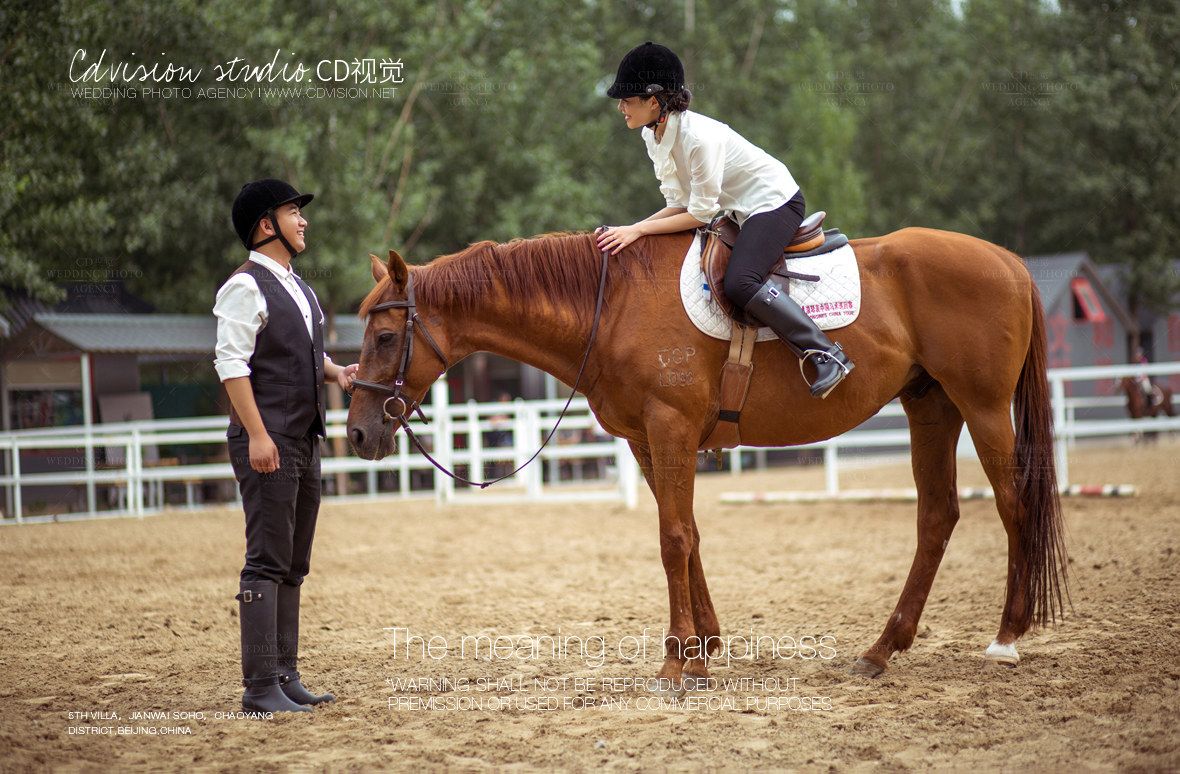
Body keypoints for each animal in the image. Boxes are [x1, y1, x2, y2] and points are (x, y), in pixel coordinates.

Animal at [344, 226, 1071, 684]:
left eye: (385, 337)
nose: (356, 435)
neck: (614, 304)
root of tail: (1008, 260)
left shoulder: (669, 431)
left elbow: (671, 538)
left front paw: (678, 662)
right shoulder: (647, 440)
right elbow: (685, 533)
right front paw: (701, 646)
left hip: (981, 408)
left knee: (1014, 507)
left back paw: (1007, 637)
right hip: (931, 408)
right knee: (937, 517)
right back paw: (881, 649)